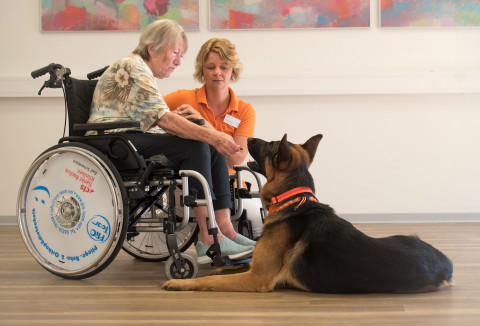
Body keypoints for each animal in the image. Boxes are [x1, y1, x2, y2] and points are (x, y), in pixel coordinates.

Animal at [163, 134, 452, 292]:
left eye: (269, 144)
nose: (247, 139)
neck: (293, 203)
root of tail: (445, 266)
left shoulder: (257, 279)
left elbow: (214, 280)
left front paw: (182, 282)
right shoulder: (255, 269)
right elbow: (233, 268)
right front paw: (218, 268)